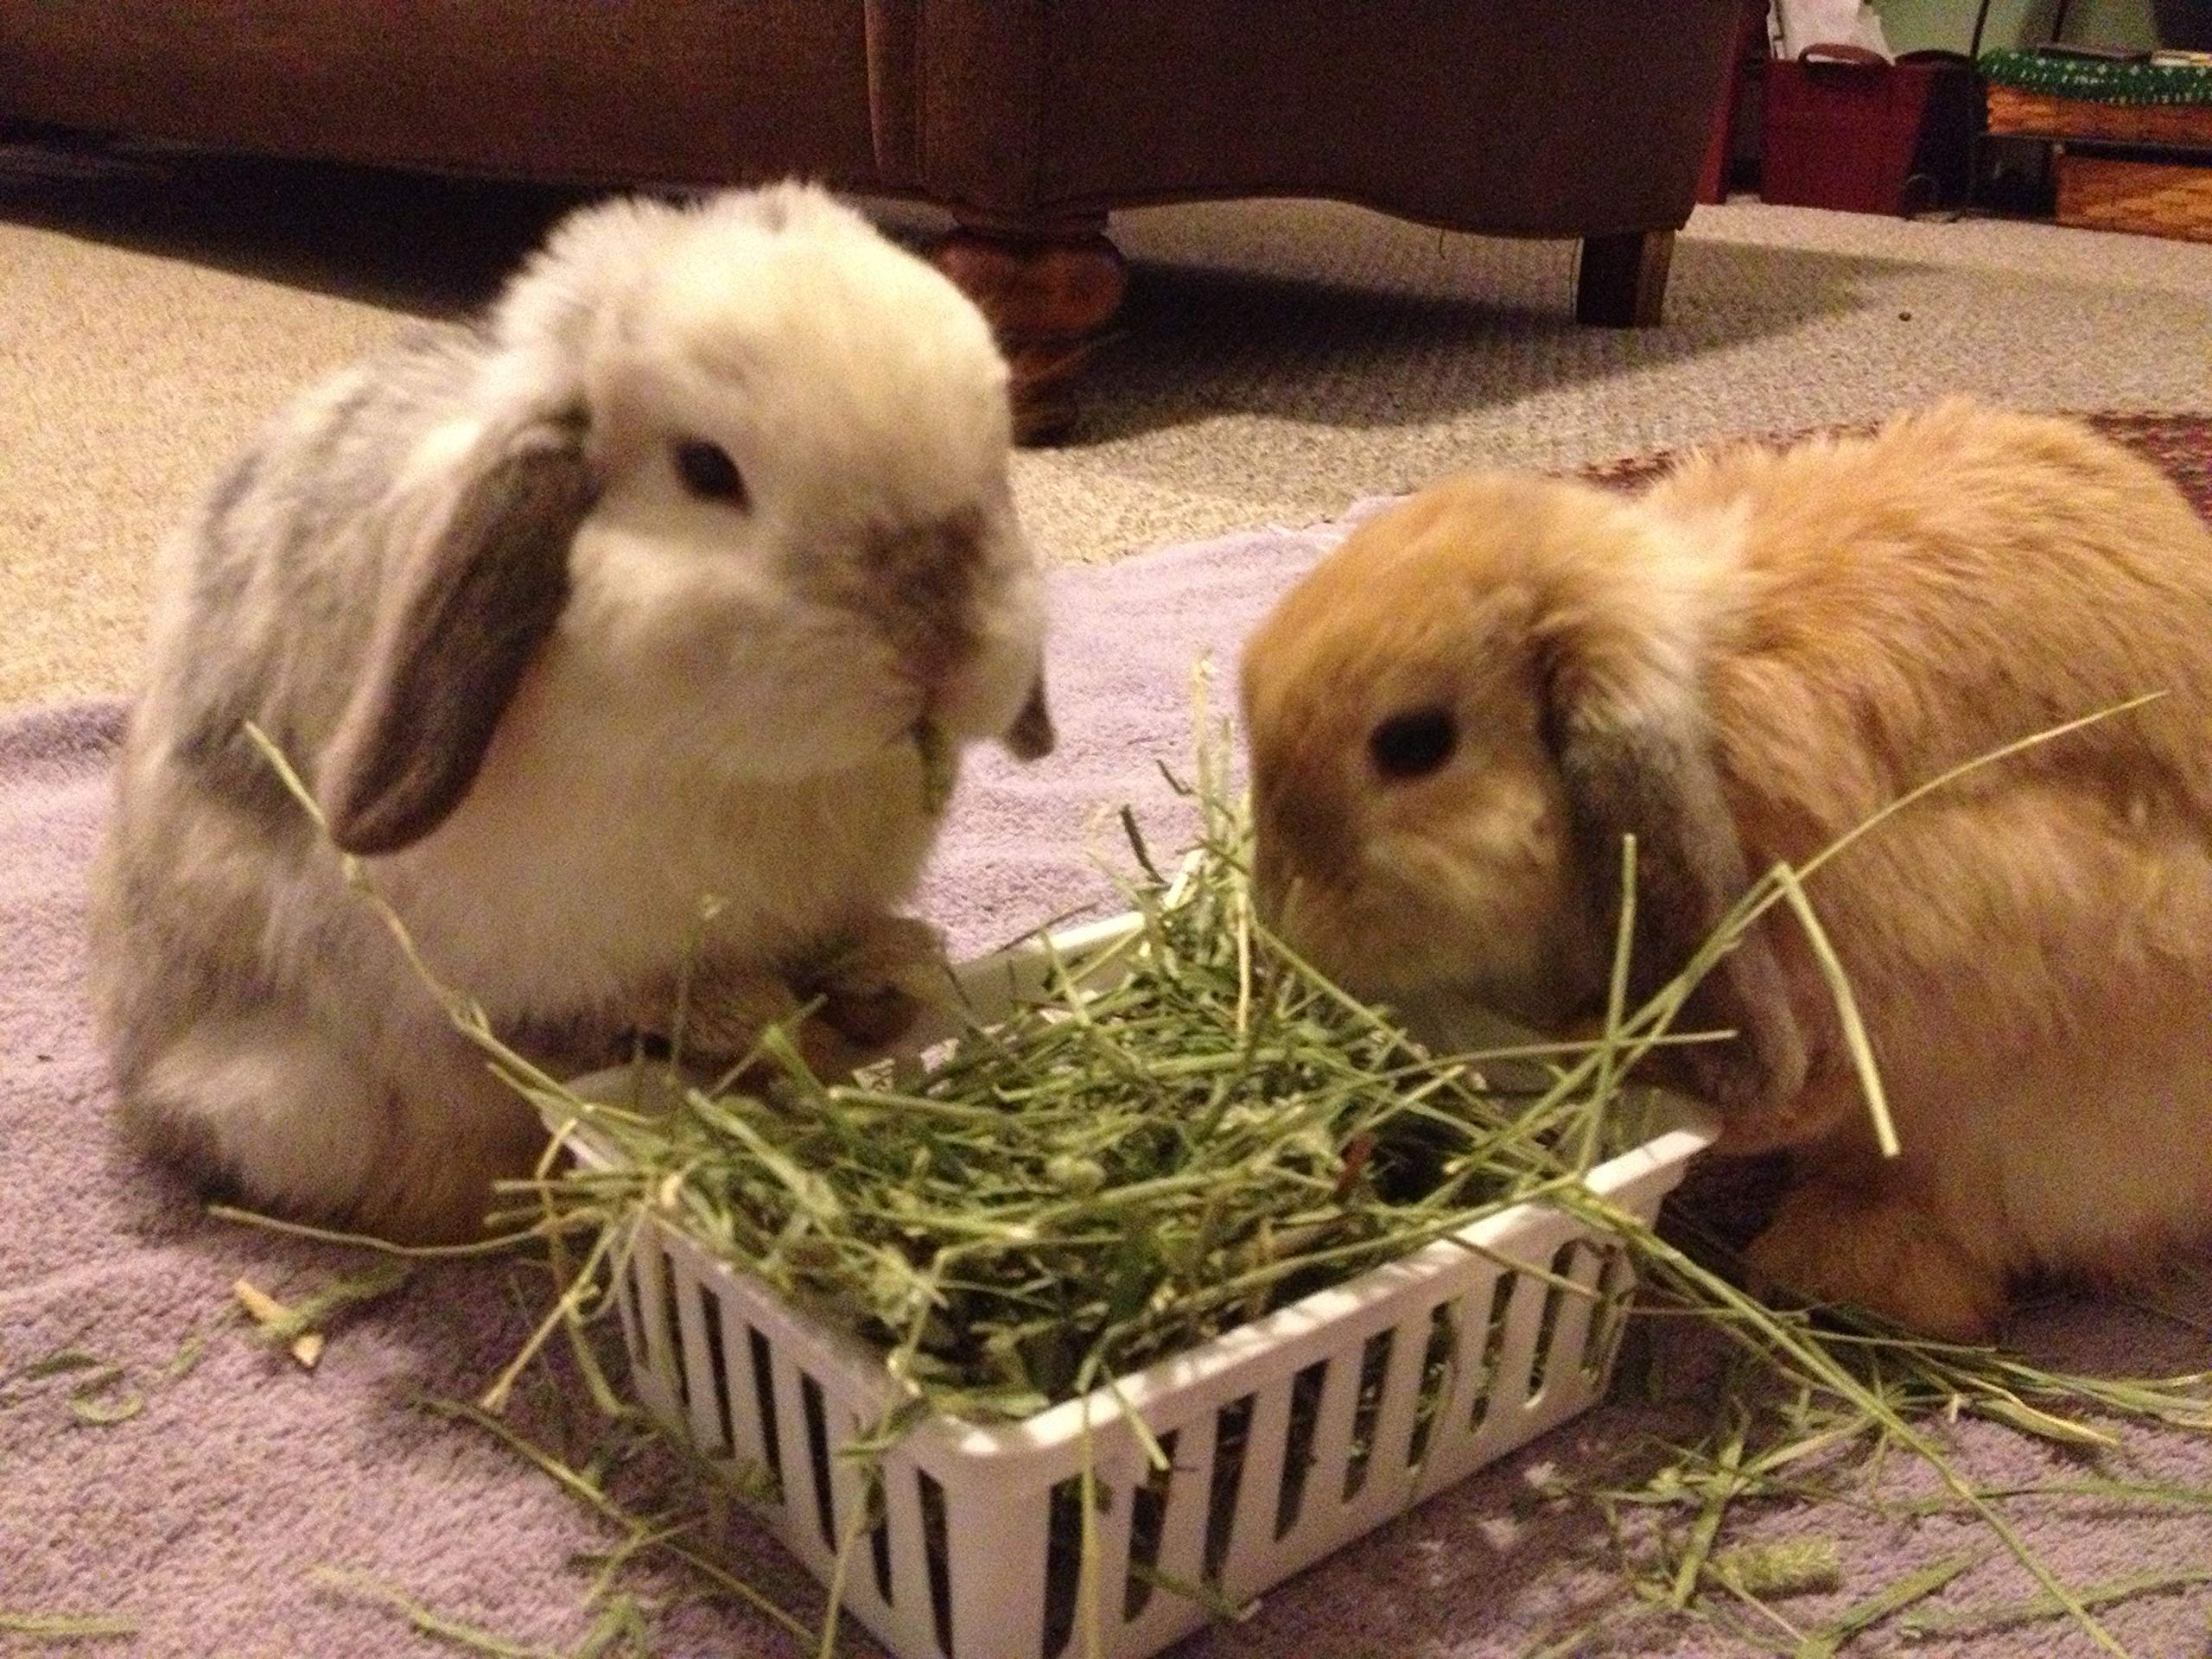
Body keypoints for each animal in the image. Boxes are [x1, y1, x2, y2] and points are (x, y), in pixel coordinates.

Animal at [86, 182, 1055, 1245]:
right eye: (706, 469)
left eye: (995, 455)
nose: (940, 643)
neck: (734, 764)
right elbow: (572, 1021)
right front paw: (739, 1018)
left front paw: (895, 967)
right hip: (299, 1097)